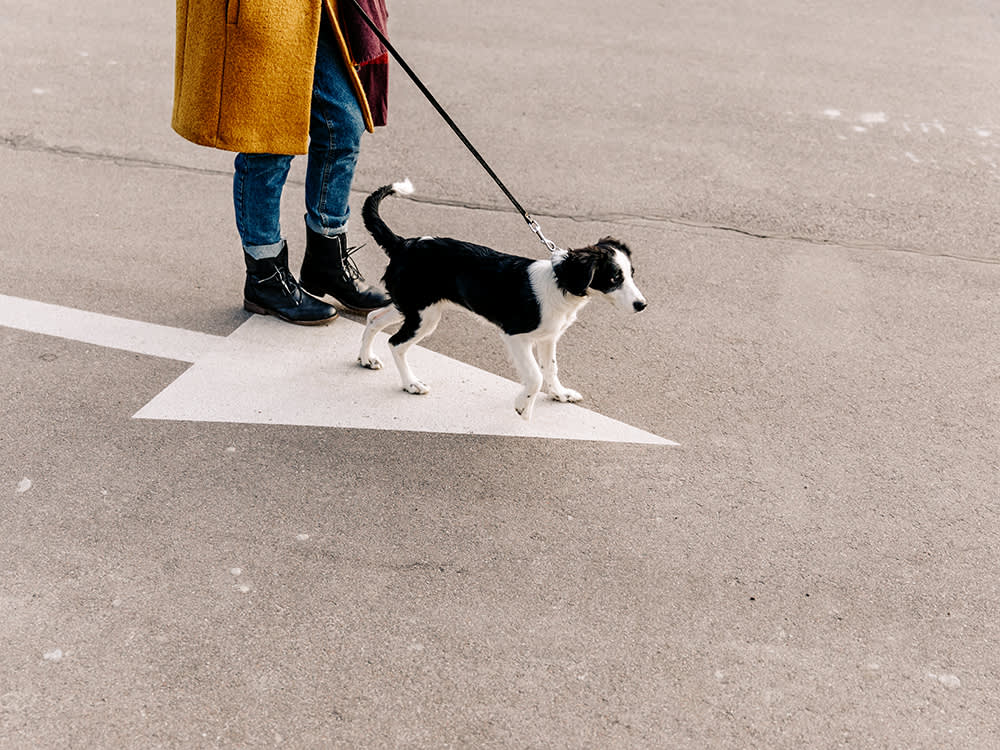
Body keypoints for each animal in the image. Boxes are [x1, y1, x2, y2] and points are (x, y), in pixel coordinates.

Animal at [360, 180, 648, 420]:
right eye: (614, 278)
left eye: (632, 274)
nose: (642, 305)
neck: (561, 284)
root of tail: (403, 244)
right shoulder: (515, 335)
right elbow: (534, 376)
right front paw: (523, 407)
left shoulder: (548, 337)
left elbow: (550, 368)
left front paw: (560, 394)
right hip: (423, 315)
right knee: (396, 343)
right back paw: (411, 384)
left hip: (412, 306)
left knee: (373, 318)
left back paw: (366, 359)